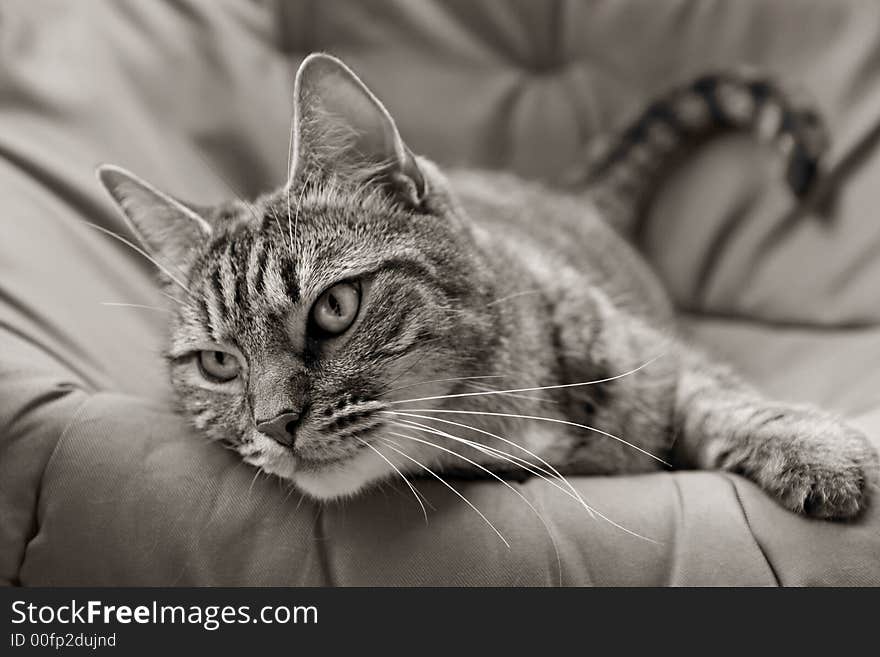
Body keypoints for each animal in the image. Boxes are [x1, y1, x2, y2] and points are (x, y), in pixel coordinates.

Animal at [98, 53, 872, 520]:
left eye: (335, 308)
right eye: (218, 363)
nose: (272, 425)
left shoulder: (655, 354)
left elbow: (720, 393)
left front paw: (812, 445)